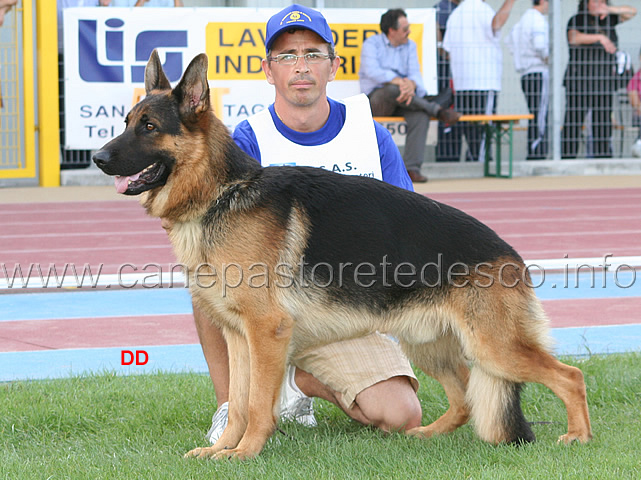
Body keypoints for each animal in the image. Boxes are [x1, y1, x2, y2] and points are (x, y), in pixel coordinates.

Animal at [92, 50, 592, 460]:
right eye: (125, 121)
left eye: (149, 127)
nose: (96, 158)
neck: (222, 192)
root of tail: (509, 254)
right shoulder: (238, 336)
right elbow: (238, 402)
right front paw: (223, 448)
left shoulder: (265, 331)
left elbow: (256, 403)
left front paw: (246, 452)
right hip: (431, 345)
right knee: (467, 397)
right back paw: (426, 435)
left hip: (494, 348)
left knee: (570, 377)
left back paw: (578, 437)